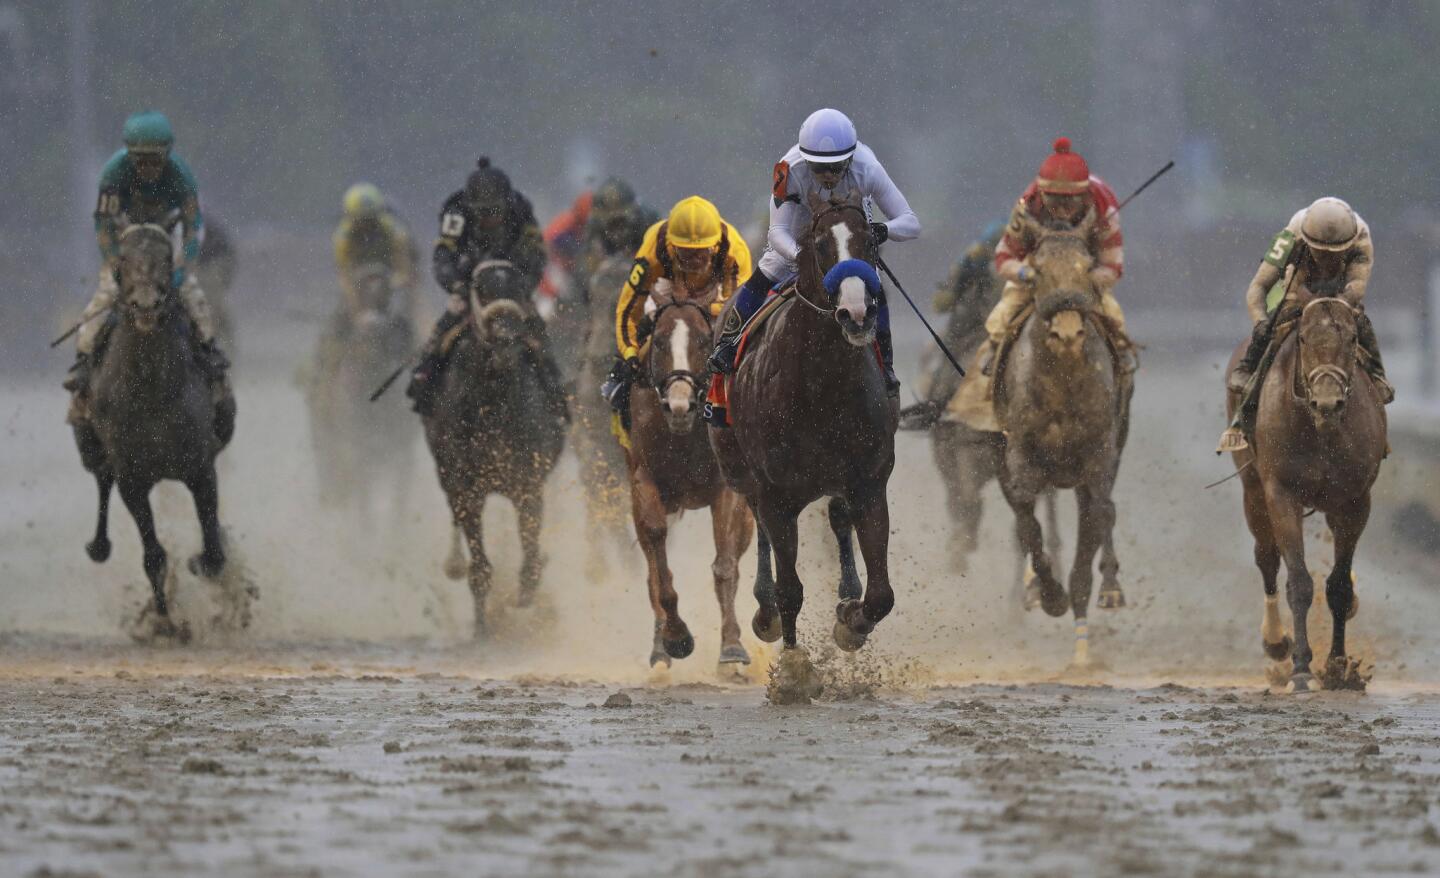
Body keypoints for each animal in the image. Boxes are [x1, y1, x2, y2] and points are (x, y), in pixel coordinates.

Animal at [75, 221, 231, 633]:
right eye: (125, 259)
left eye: (165, 257)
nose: (145, 305)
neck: (151, 389)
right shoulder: (132, 477)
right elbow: (154, 555)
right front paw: (163, 621)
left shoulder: (200, 466)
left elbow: (214, 550)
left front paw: (202, 563)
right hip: (91, 445)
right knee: (102, 479)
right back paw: (98, 546)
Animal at [630, 287, 754, 670]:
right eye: (658, 342)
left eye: (702, 341)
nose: (679, 406)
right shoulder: (644, 481)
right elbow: (658, 565)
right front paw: (676, 637)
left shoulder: (727, 488)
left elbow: (725, 566)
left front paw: (732, 647)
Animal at [705, 189, 892, 670]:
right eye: (821, 244)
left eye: (869, 241)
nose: (857, 313)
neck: (821, 383)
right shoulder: (776, 492)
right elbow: (789, 588)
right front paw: (792, 666)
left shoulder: (868, 481)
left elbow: (881, 595)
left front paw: (851, 623)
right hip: (737, 469)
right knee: (759, 526)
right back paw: (765, 609)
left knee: (838, 519)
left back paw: (846, 594)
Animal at [996, 233, 1128, 662]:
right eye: (1037, 270)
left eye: (1087, 268)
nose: (1068, 334)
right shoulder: (1020, 455)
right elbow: (1027, 523)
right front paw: (1049, 594)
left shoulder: (1099, 452)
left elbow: (1100, 513)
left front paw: (1101, 592)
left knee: (1097, 518)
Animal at [1226, 293, 1382, 690]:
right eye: (1303, 339)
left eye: (1353, 339)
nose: (1328, 402)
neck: (1321, 429)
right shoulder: (1282, 494)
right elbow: (1298, 580)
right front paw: (1300, 669)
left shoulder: (1354, 500)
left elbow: (1339, 586)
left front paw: (1339, 667)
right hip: (1253, 489)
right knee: (1266, 557)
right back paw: (1276, 643)